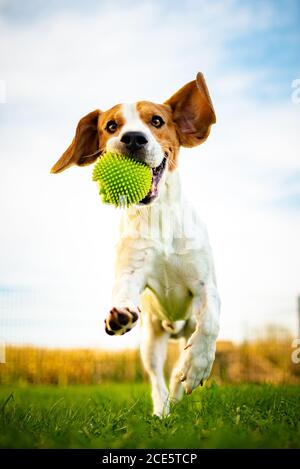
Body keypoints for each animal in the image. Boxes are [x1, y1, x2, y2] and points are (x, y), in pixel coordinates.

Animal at [51, 71, 220, 414]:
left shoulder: (206, 287)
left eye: (156, 121)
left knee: (180, 359)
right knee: (157, 380)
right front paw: (118, 315)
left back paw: (183, 375)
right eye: (111, 126)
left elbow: (209, 322)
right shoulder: (131, 273)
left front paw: (196, 366)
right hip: (150, 342)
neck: (159, 217)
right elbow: (122, 291)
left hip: (184, 326)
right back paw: (162, 411)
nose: (132, 138)